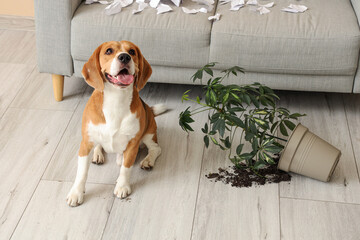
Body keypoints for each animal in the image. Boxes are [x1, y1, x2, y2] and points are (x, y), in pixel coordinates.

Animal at [67, 40, 165, 206]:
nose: (125, 57)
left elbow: (126, 168)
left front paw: (122, 186)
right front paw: (76, 193)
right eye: (108, 51)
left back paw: (147, 161)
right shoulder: (86, 143)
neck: (116, 98)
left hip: (148, 134)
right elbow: (82, 172)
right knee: (100, 145)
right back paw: (98, 154)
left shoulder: (132, 144)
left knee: (155, 149)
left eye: (132, 51)